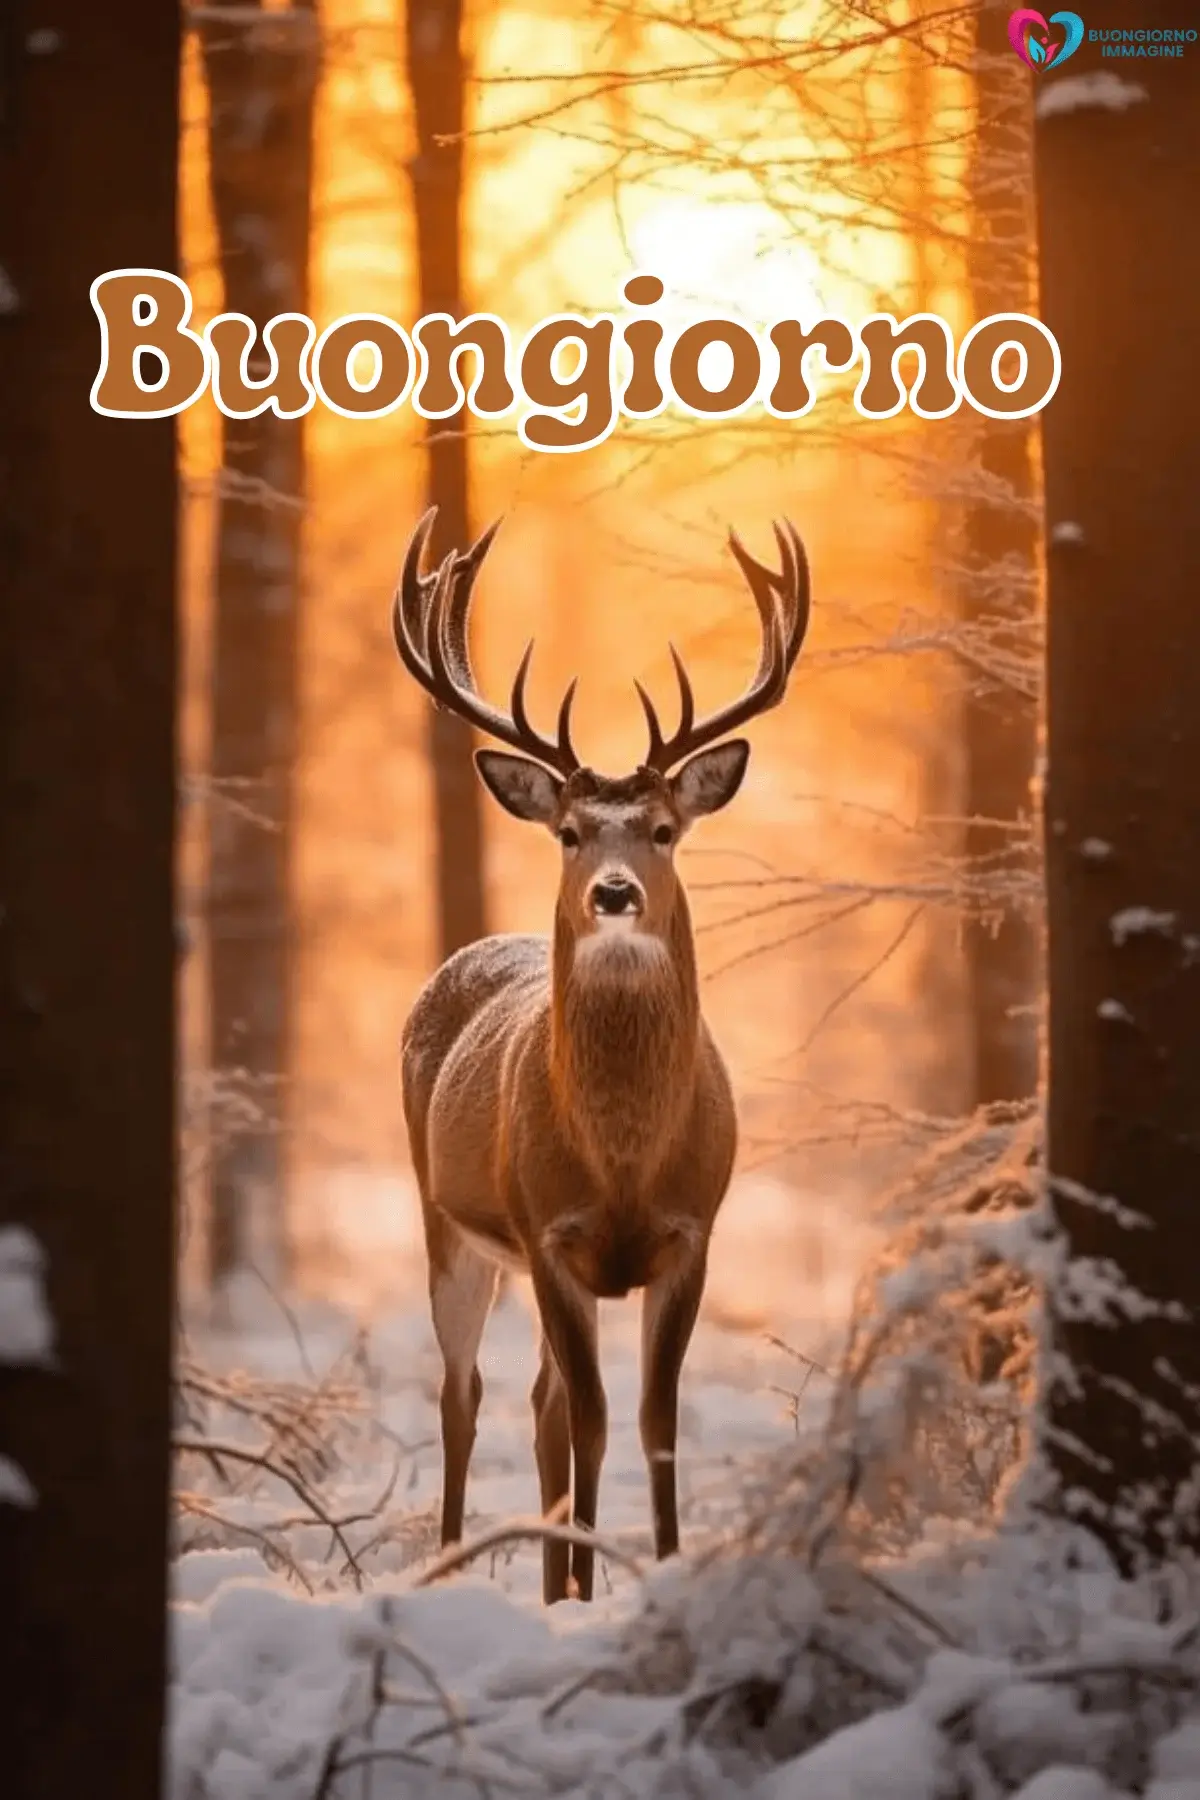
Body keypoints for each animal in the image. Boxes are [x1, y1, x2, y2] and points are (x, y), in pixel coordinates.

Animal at [393, 506, 810, 1604]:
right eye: (571, 831)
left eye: (664, 829)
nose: (614, 892)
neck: (623, 1160)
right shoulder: (549, 1231)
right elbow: (592, 1418)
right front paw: (591, 1583)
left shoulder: (693, 1232)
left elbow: (655, 1422)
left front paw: (651, 1570)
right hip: (447, 1223)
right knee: (466, 1393)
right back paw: (457, 1568)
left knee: (535, 1399)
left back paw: (551, 1583)